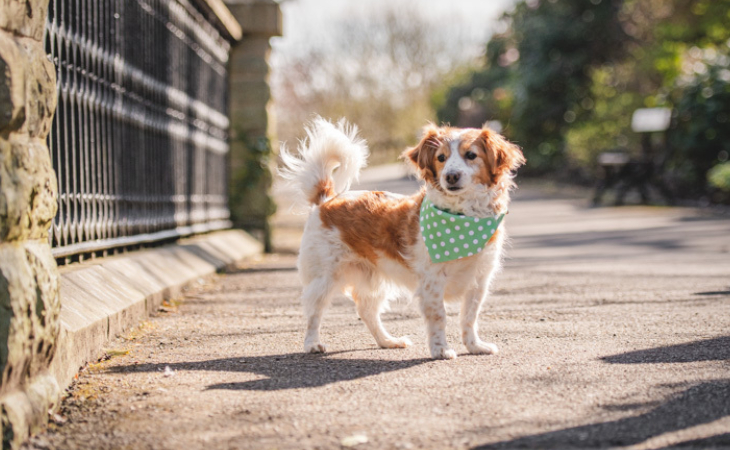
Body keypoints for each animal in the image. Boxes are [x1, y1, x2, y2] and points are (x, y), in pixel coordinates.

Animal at [278, 118, 524, 360]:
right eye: (441, 158)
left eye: (471, 155)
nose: (450, 176)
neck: (464, 218)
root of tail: (326, 200)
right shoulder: (432, 282)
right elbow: (439, 317)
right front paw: (440, 350)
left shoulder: (479, 280)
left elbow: (469, 318)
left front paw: (474, 346)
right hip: (323, 279)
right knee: (314, 312)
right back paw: (312, 344)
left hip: (374, 280)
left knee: (366, 311)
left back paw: (387, 341)